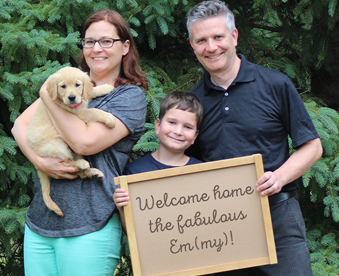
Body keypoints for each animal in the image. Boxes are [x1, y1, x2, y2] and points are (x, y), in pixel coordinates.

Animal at [26, 67, 115, 218]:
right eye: (63, 86)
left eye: (77, 85)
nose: (72, 97)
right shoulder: (78, 114)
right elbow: (94, 111)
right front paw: (109, 119)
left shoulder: (81, 100)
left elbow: (91, 91)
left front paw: (105, 87)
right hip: (58, 147)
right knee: (66, 165)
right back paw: (81, 164)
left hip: (74, 150)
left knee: (79, 172)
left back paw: (92, 172)